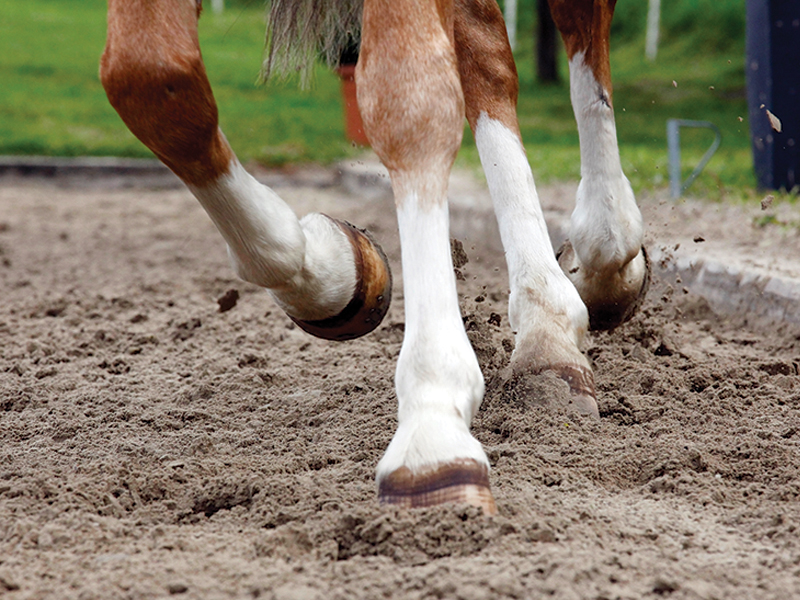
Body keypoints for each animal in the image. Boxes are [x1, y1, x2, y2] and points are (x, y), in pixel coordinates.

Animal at [99, 0, 649, 515]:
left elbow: (410, 101)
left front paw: (432, 425)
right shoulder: (154, 79)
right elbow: (149, 79)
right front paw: (333, 272)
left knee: (575, 27)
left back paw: (599, 261)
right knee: (488, 60)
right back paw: (550, 326)